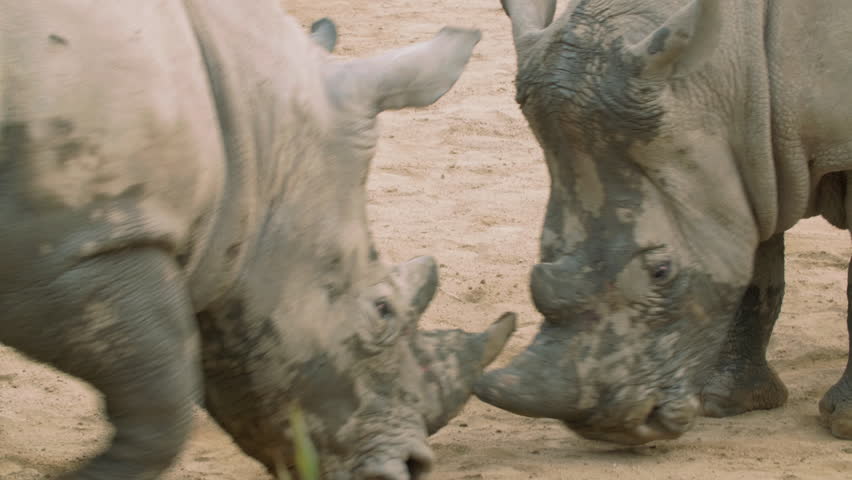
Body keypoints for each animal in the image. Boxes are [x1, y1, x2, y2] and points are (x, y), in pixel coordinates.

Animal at [474, 0, 852, 445]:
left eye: (661, 271)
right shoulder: (752, 156)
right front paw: (723, 403)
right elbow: (755, 268)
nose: (609, 430)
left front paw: (845, 423)